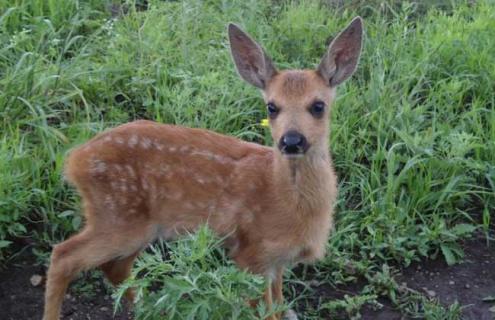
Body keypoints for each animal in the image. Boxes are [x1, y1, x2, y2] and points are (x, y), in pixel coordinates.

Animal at [42, 17, 364, 320]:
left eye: (318, 105)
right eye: (272, 107)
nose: (292, 140)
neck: (286, 200)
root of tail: (75, 161)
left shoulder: (276, 261)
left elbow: (279, 302)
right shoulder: (252, 253)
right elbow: (264, 311)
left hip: (136, 225)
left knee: (114, 268)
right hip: (117, 216)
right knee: (63, 255)